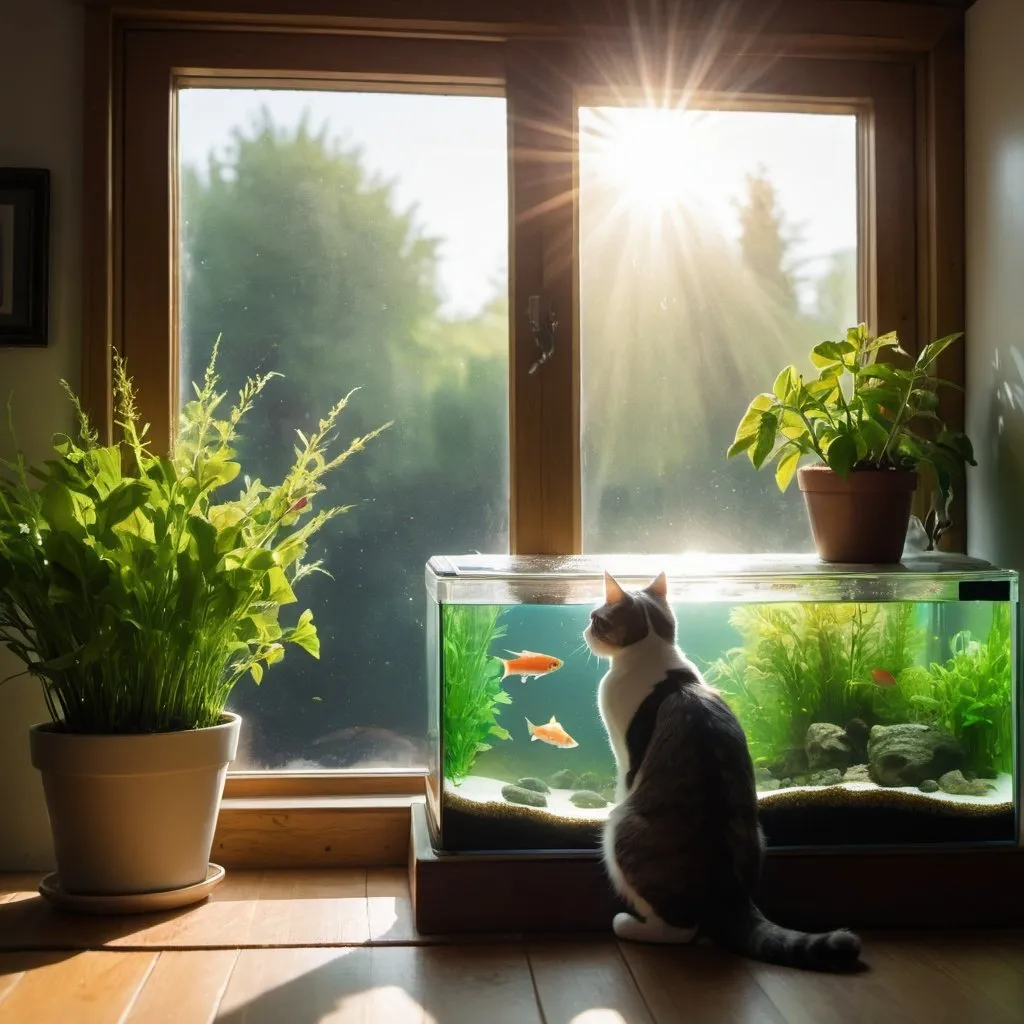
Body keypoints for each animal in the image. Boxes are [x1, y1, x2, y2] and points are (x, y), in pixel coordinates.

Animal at [585, 573, 864, 970]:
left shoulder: (626, 754)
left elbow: (623, 778)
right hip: (759, 834)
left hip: (620, 829)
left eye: (596, 619)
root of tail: (730, 896)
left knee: (681, 929)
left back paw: (629, 925)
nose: (585, 630)